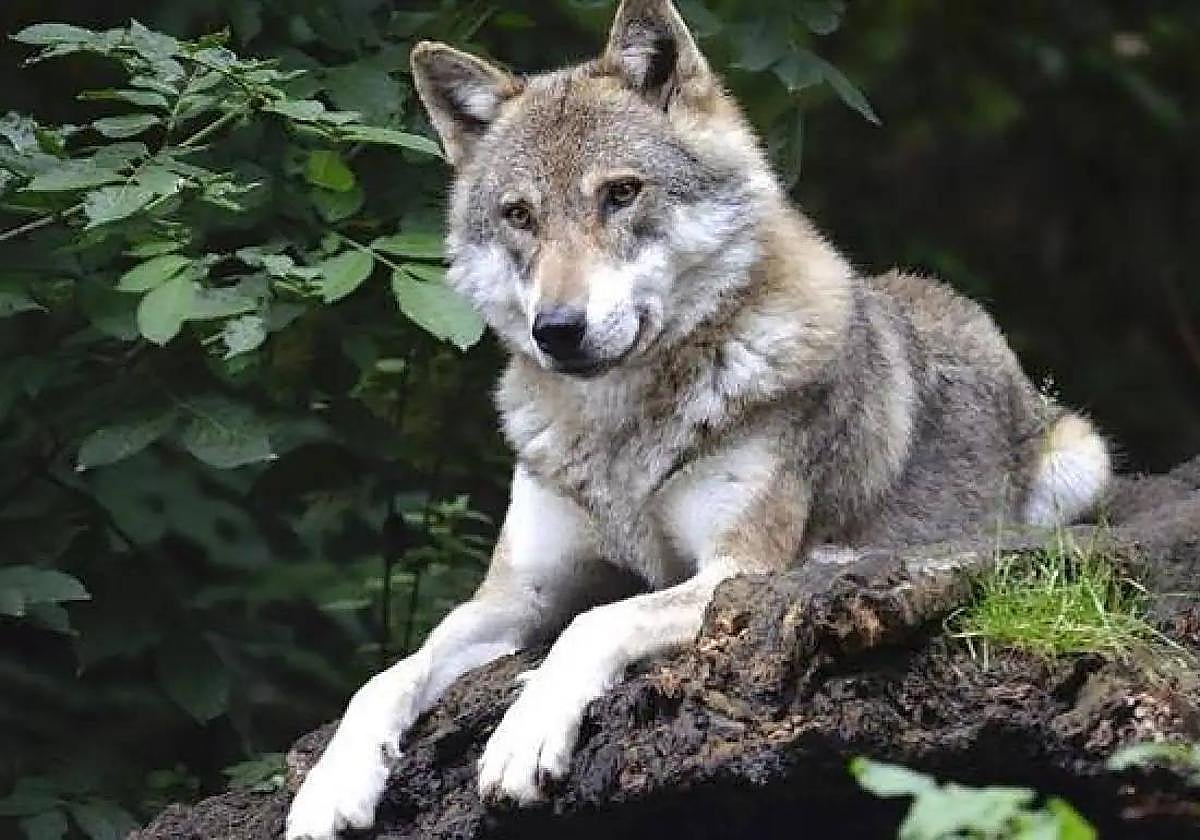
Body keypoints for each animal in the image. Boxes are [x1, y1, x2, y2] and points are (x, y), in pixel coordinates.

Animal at [286, 1, 1112, 836]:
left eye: (621, 194)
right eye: (519, 215)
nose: (558, 329)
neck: (621, 435)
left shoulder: (734, 569)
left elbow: (595, 623)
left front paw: (523, 738)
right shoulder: (514, 597)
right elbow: (388, 675)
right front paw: (329, 786)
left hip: (1082, 462)